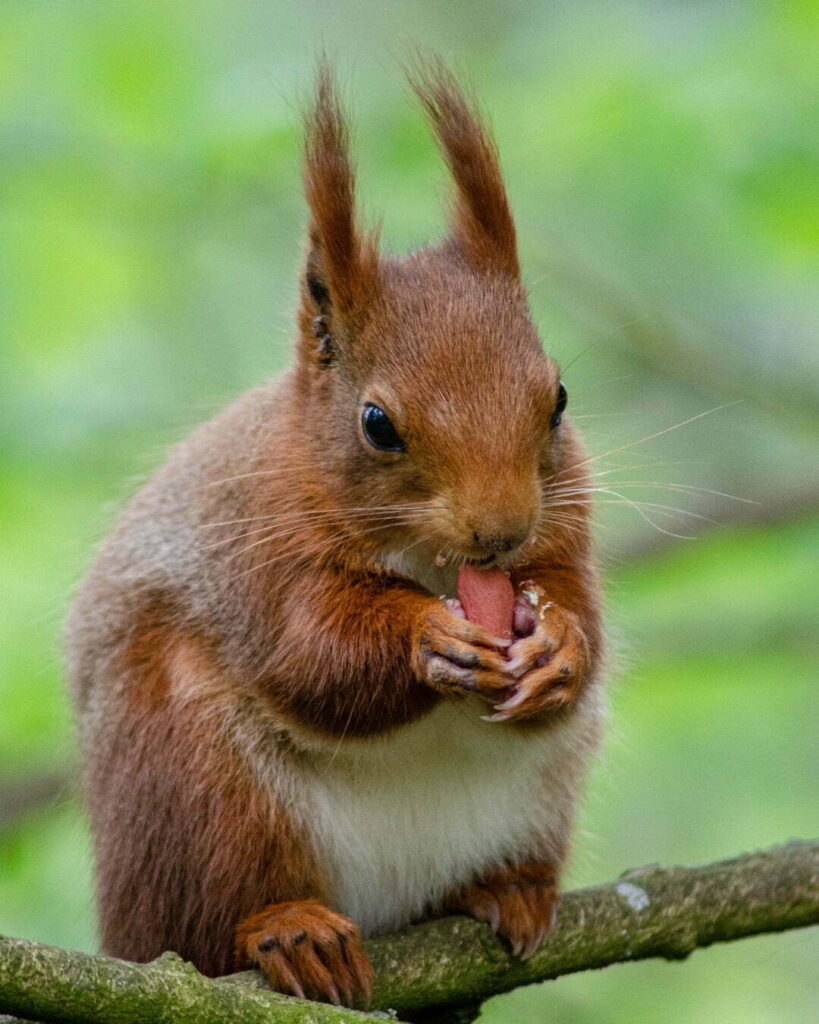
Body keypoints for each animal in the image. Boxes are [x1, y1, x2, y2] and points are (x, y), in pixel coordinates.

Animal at [65, 60, 604, 1008]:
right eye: (377, 424)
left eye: (559, 398)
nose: (500, 532)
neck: (429, 561)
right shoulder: (256, 549)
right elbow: (309, 654)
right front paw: (426, 638)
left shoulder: (564, 525)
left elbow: (587, 619)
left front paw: (560, 647)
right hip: (189, 778)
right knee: (209, 924)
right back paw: (290, 931)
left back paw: (502, 889)